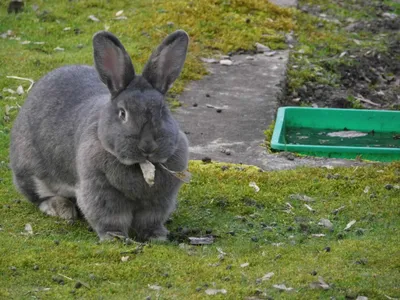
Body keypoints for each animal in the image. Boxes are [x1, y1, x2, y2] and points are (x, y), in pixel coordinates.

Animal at [9, 30, 190, 241]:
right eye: (122, 113)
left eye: (163, 111)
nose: (147, 146)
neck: (142, 167)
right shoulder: (100, 191)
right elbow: (110, 217)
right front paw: (115, 237)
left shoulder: (159, 199)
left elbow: (149, 220)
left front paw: (155, 236)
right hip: (31, 172)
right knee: (40, 196)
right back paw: (62, 209)